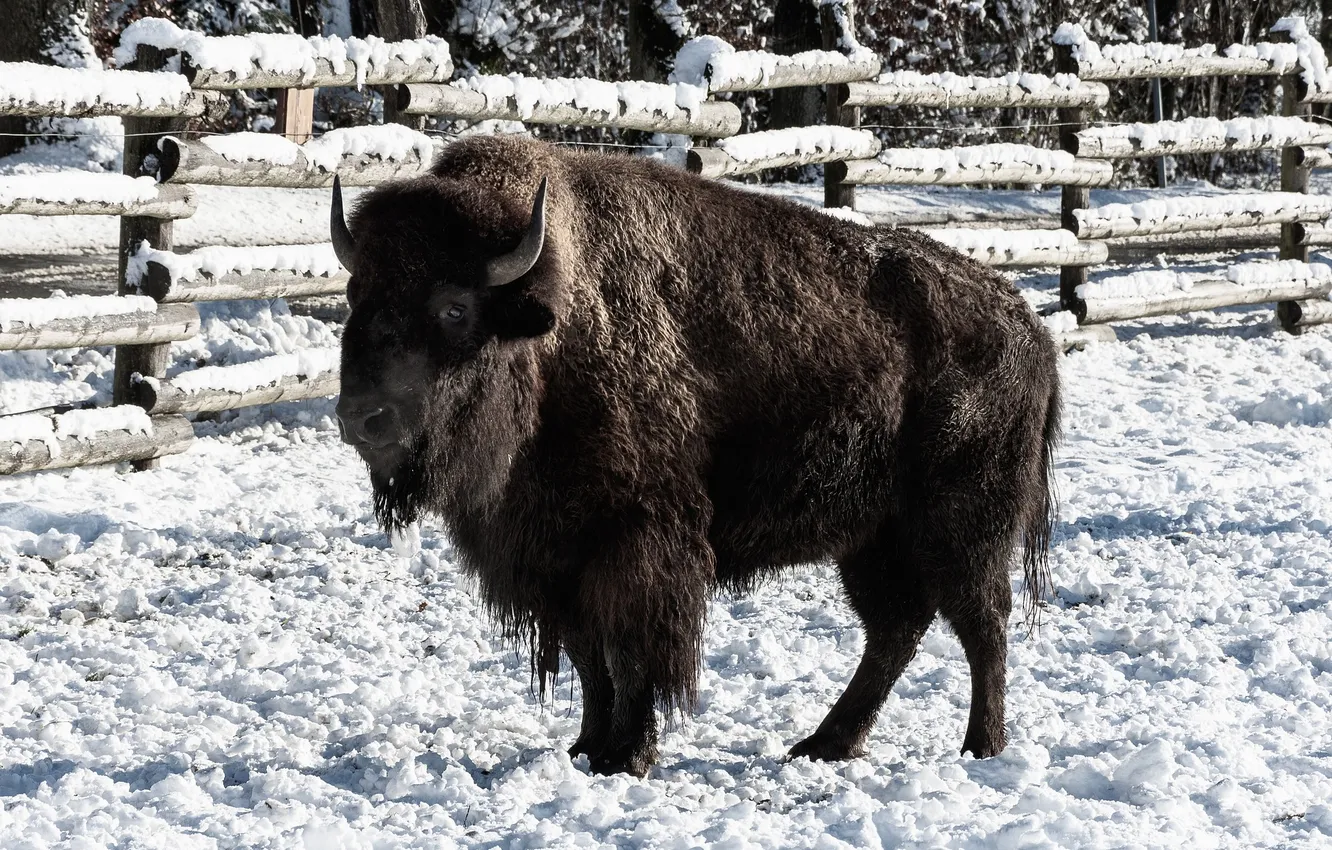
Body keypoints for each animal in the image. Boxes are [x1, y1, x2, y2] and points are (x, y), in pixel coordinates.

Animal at [331, 135, 1059, 777]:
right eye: (355, 294)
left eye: (454, 308)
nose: (362, 417)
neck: (550, 331)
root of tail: (1029, 326)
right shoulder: (554, 556)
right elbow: (590, 658)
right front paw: (587, 746)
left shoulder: (634, 543)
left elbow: (630, 653)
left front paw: (626, 755)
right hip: (873, 538)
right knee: (896, 629)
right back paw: (826, 743)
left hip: (960, 526)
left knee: (981, 622)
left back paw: (981, 746)